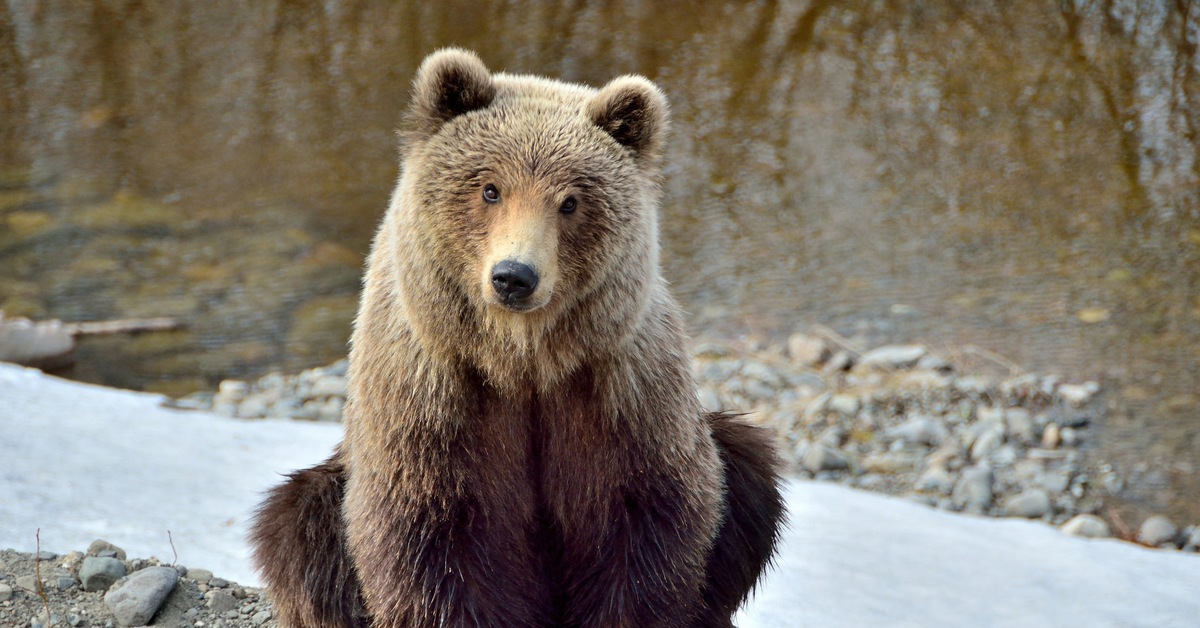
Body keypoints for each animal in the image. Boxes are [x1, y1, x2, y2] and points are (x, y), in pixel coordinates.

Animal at [248, 49, 782, 628]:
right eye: (490, 188)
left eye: (570, 201)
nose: (514, 276)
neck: (522, 360)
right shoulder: (436, 401)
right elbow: (436, 542)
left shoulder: (619, 394)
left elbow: (644, 525)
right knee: (298, 526)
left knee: (750, 474)